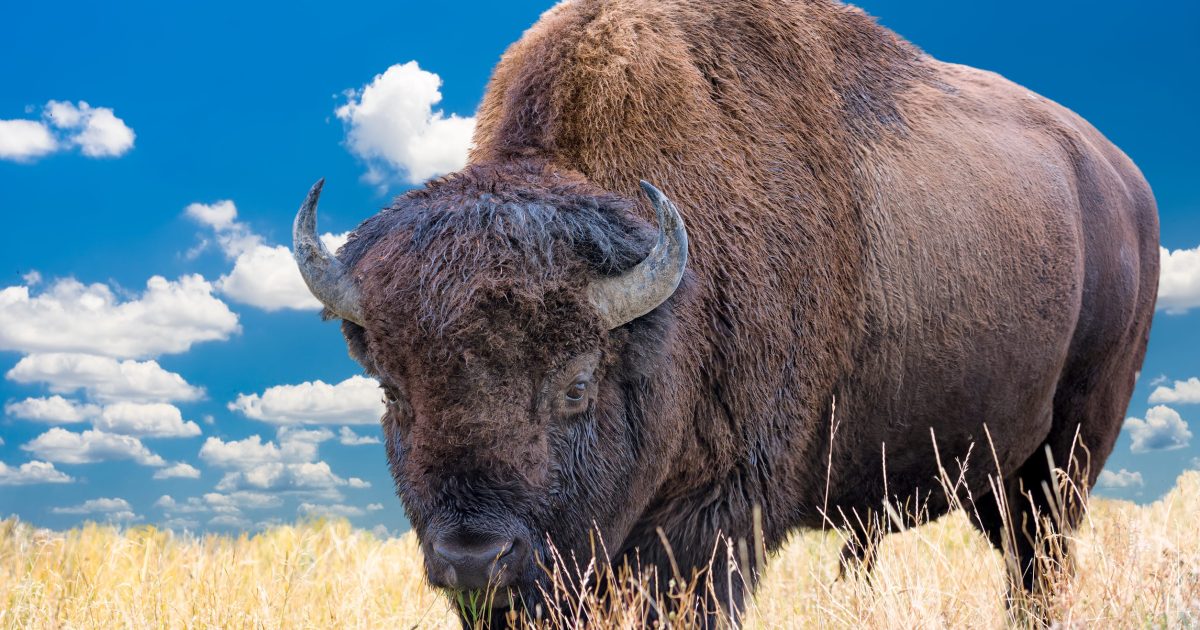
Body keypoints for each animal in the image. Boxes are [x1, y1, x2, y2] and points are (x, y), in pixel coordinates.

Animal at [293, 0, 1159, 626]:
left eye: (576, 384)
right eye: (393, 390)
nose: (474, 559)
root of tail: (1123, 180)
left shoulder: (712, 522)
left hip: (1067, 453)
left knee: (1041, 559)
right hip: (994, 473)